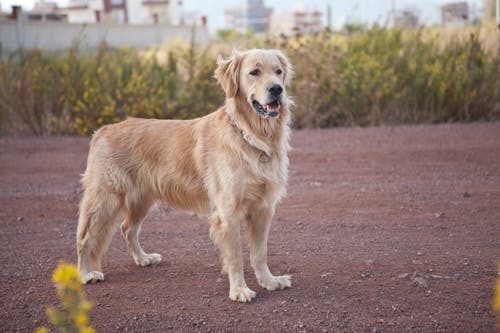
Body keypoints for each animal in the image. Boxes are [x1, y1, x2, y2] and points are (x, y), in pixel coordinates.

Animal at [77, 48, 292, 300]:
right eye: (254, 72)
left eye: (278, 72)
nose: (277, 89)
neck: (251, 135)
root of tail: (102, 130)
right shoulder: (228, 214)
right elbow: (236, 258)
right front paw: (239, 290)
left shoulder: (262, 210)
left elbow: (260, 253)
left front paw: (269, 281)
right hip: (105, 199)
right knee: (85, 238)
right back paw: (85, 273)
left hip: (142, 199)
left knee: (127, 228)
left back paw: (143, 258)